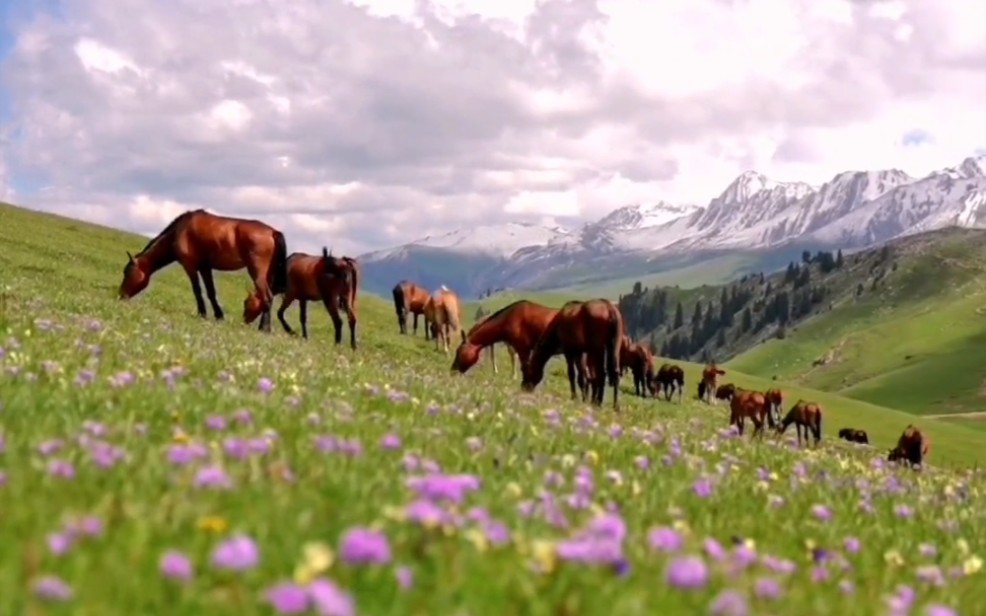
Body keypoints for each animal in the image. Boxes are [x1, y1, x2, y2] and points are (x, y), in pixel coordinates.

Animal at [118, 208, 288, 332]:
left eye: (126, 272)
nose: (120, 295)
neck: (180, 230)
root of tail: (273, 232)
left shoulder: (190, 266)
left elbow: (197, 290)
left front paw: (202, 313)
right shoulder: (205, 268)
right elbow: (211, 292)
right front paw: (218, 316)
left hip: (257, 272)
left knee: (267, 296)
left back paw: (264, 328)